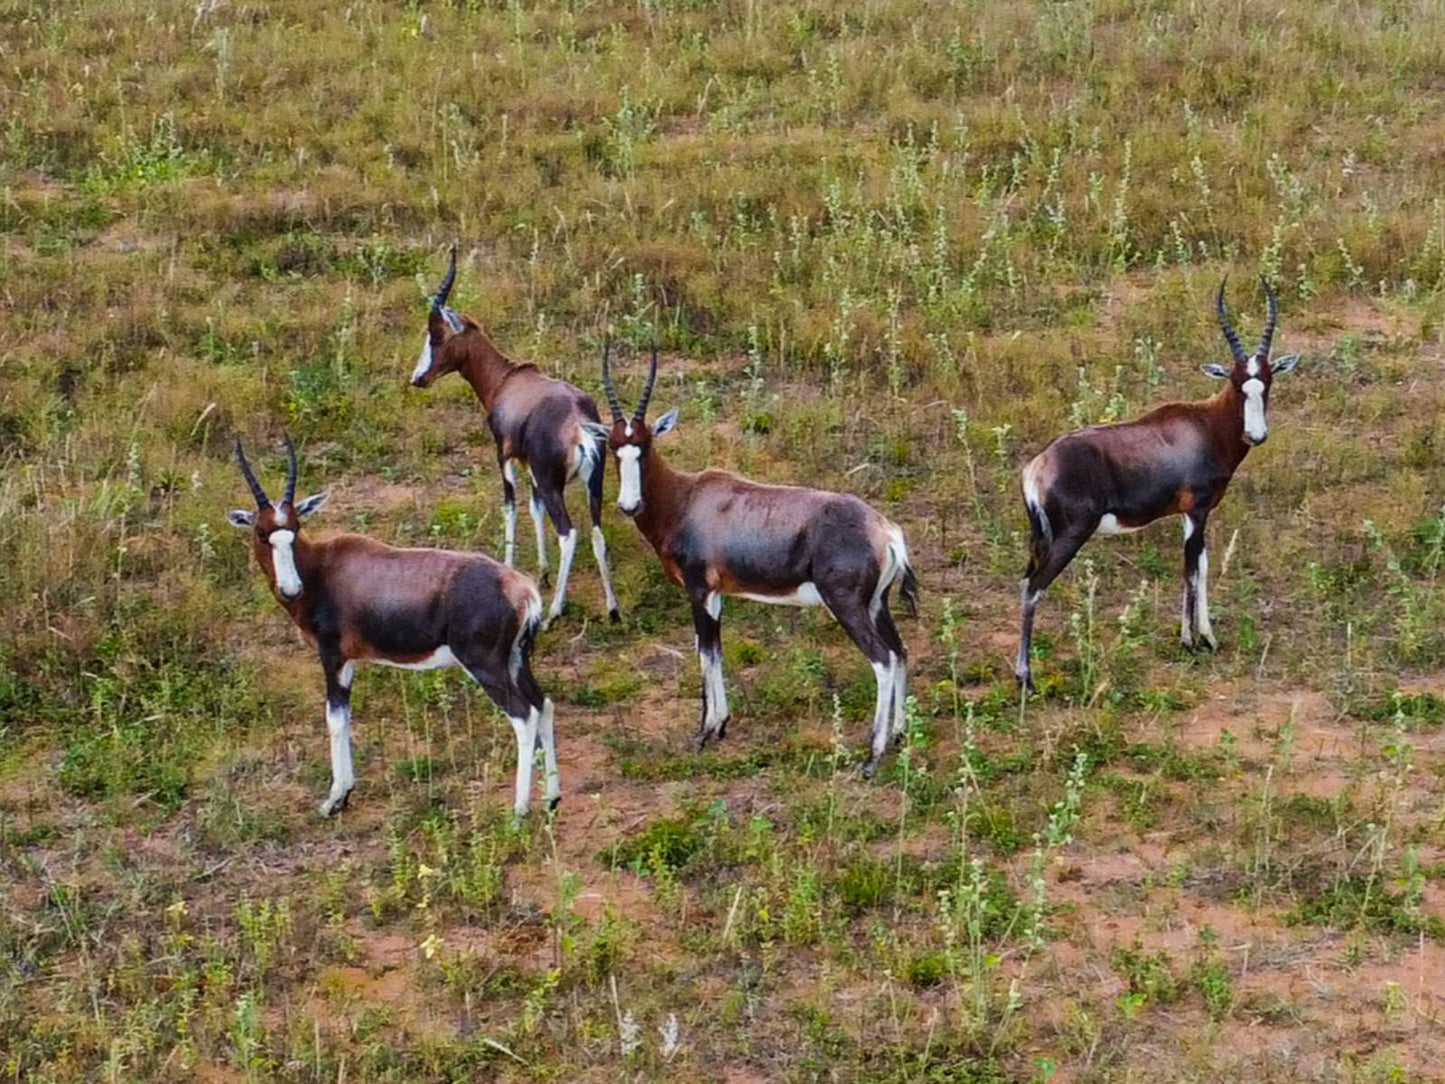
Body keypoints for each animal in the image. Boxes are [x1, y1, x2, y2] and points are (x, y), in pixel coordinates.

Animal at [225, 436, 557, 820]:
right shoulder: (350, 662)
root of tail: (522, 589)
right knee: (544, 704)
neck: (324, 568)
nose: (291, 589)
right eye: (263, 532)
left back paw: (518, 812)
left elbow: (334, 719)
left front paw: (333, 800)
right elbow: (346, 717)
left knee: (524, 716)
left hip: (486, 666)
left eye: (295, 528)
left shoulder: (332, 657)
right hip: (518, 661)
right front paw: (345, 793)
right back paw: (552, 799)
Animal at [404, 248, 618, 627]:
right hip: (593, 483)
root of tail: (579, 424)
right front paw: (542, 571)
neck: (508, 379)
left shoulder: (504, 456)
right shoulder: (529, 465)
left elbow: (511, 507)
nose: (418, 378)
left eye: (437, 336)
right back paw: (612, 609)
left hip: (554, 484)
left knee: (569, 534)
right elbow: (533, 508)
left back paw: (554, 612)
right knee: (596, 531)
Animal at [601, 345, 919, 774]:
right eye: (614, 447)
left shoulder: (698, 591)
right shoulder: (716, 595)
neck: (688, 498)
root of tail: (886, 531)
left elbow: (704, 653)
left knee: (883, 660)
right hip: (876, 604)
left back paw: (872, 757)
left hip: (847, 605)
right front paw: (719, 726)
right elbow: (715, 653)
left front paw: (703, 733)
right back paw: (899, 735)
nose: (628, 505)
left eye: (646, 445)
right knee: (899, 652)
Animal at [1011, 277, 1306, 687]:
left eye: (1266, 381)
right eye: (1236, 383)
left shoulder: (1190, 514)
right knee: (1033, 586)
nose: (1256, 435)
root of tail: (1038, 466)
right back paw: (1026, 678)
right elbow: (1190, 571)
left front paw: (1208, 638)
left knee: (1024, 580)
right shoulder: (1197, 510)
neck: (1204, 424)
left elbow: (1202, 566)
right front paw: (1190, 642)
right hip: (1070, 536)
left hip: (1040, 538)